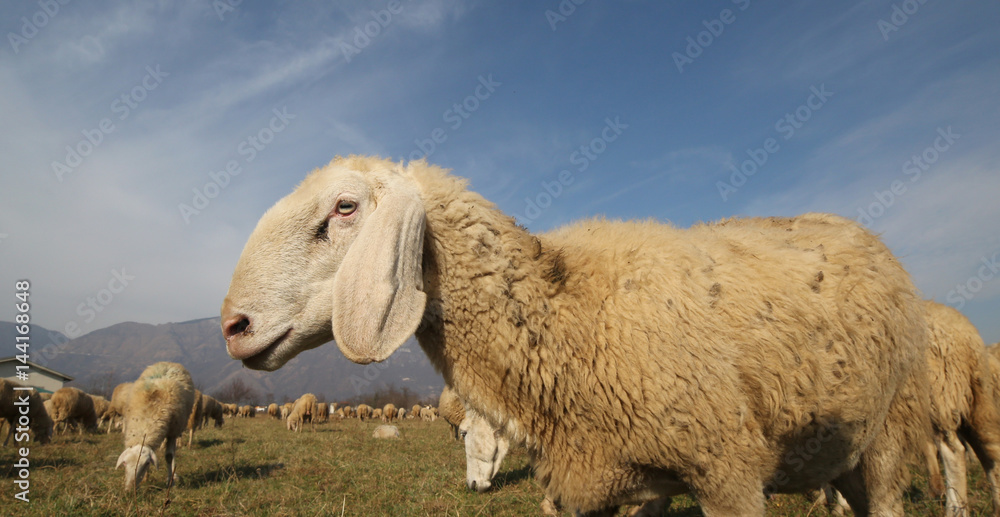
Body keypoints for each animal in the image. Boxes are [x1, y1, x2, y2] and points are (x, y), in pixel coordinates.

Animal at [116, 362, 195, 492]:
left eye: (146, 463)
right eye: (124, 463)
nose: (129, 490)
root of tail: (169, 362)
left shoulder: (172, 432)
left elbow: (169, 456)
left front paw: (171, 482)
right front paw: (145, 479)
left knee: (173, 453)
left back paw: (173, 475)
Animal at [220, 156, 932, 515]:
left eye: (345, 208)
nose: (232, 327)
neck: (565, 310)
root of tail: (863, 231)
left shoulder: (726, 474)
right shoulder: (600, 487)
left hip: (888, 439)